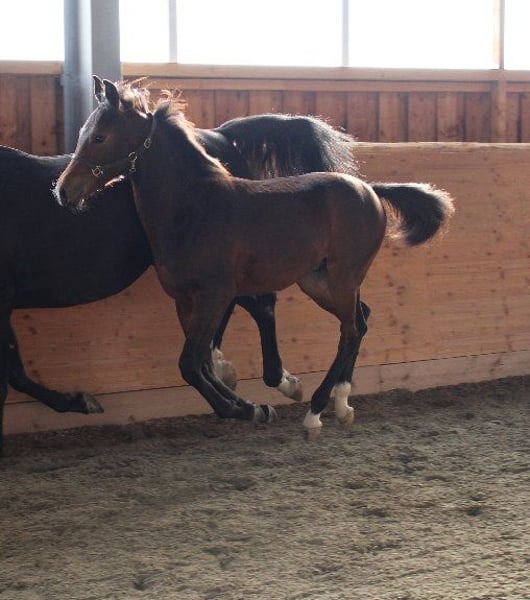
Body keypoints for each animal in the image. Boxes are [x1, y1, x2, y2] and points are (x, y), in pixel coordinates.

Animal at [0, 107, 367, 454]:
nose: (63, 193)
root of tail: (221, 135)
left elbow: (12, 376)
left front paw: (79, 401)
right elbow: (14, 371)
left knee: (267, 307)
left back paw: (289, 386)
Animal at [55, 78, 454, 438]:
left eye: (99, 136)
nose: (63, 191)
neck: (195, 209)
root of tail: (368, 189)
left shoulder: (215, 295)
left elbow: (191, 363)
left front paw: (248, 408)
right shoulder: (185, 301)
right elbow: (201, 364)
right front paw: (252, 405)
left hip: (342, 277)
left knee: (351, 329)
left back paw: (316, 412)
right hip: (318, 281)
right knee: (360, 320)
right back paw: (342, 405)